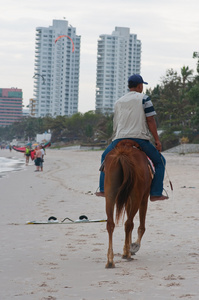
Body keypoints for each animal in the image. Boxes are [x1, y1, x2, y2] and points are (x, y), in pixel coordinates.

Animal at [104, 139, 152, 268]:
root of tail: (123, 154)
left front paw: (127, 247)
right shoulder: (144, 197)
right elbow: (141, 226)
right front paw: (133, 247)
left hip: (110, 195)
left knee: (111, 224)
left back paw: (110, 261)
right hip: (137, 196)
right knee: (128, 223)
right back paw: (128, 254)